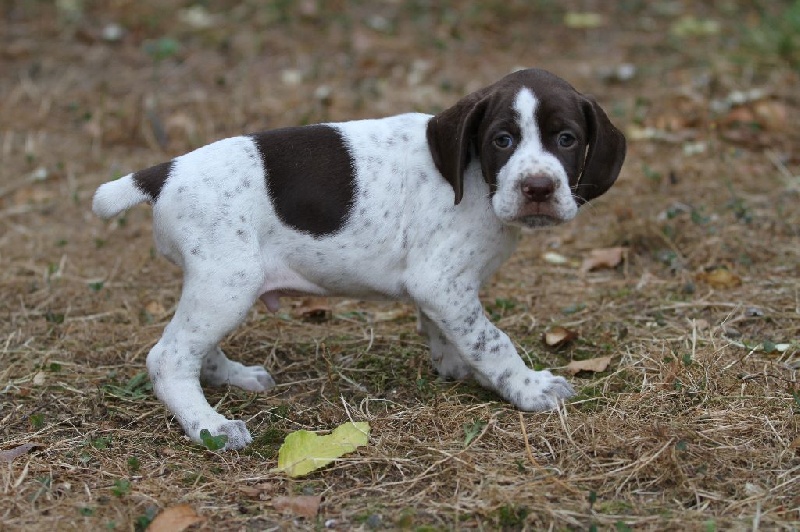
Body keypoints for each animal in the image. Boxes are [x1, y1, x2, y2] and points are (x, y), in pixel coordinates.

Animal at [93, 68, 625, 450]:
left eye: (566, 139)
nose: (538, 188)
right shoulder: (441, 282)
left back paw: (235, 377)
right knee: (169, 357)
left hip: (219, 286)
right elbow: (492, 341)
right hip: (228, 282)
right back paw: (211, 427)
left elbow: (445, 331)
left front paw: (453, 365)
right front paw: (530, 388)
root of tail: (165, 172)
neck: (478, 179)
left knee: (196, 349)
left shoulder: (439, 290)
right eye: (502, 140)